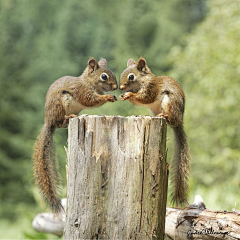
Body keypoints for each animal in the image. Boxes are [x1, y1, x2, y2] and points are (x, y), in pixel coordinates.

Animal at [31, 57, 118, 212]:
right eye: (104, 76)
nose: (116, 87)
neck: (88, 82)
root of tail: (48, 121)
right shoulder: (82, 91)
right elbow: (91, 100)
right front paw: (108, 97)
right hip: (60, 104)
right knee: (59, 122)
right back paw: (68, 117)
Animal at [119, 56, 190, 206]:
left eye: (131, 76)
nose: (121, 88)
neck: (143, 81)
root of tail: (179, 121)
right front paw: (124, 95)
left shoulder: (151, 89)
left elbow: (144, 97)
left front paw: (129, 94)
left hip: (169, 102)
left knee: (170, 118)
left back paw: (164, 116)